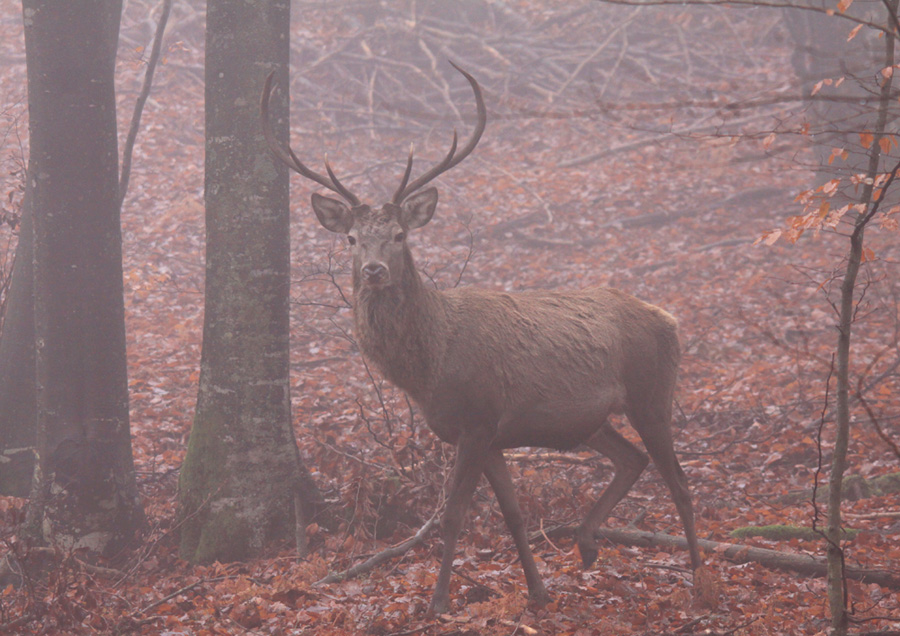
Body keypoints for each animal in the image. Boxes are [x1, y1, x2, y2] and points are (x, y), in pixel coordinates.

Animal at [256, 62, 700, 612]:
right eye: (352, 238)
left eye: (400, 235)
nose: (375, 271)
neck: (430, 368)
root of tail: (669, 318)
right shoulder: (491, 433)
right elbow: (512, 514)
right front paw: (537, 593)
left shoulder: (478, 418)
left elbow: (452, 515)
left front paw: (438, 601)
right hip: (591, 420)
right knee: (633, 459)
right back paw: (587, 543)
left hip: (651, 392)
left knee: (680, 481)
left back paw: (700, 576)